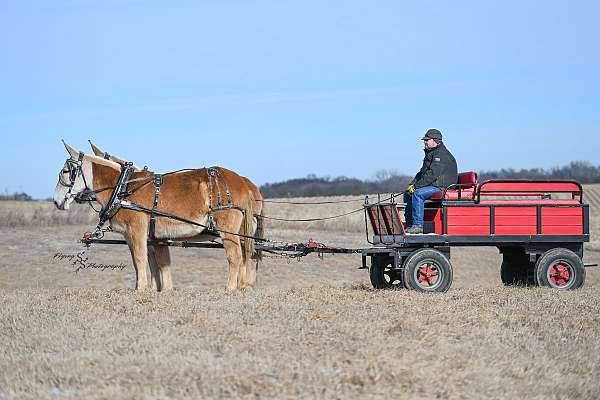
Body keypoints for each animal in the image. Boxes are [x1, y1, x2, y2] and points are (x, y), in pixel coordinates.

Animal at [55, 142, 262, 292]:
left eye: (65, 171)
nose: (56, 201)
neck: (123, 188)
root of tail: (242, 182)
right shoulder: (153, 238)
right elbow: (156, 263)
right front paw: (158, 289)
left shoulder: (136, 231)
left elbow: (140, 260)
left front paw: (141, 289)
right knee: (247, 255)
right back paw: (243, 286)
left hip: (228, 231)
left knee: (236, 256)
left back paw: (230, 288)